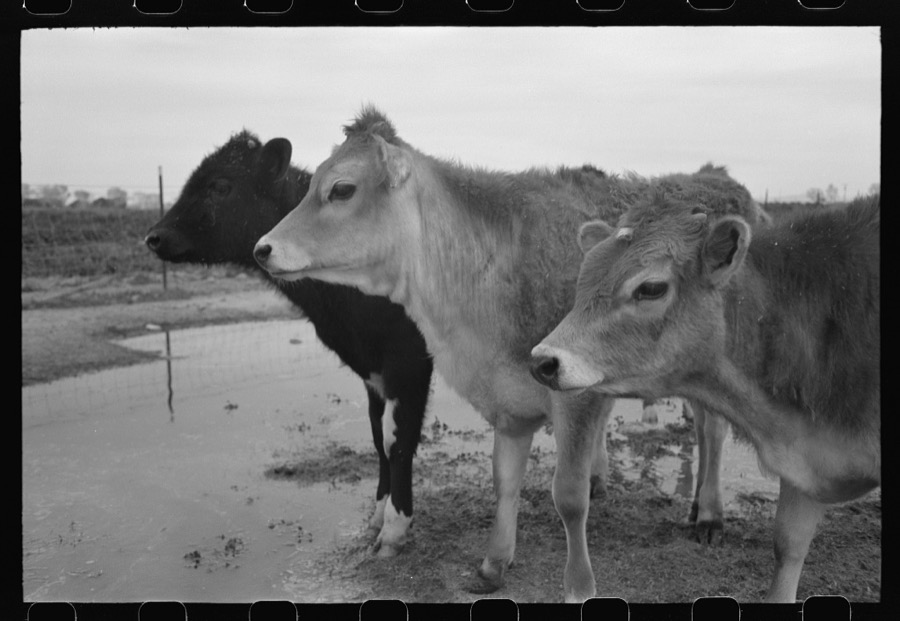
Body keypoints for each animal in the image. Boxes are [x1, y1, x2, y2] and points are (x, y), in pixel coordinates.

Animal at [143, 131, 435, 557]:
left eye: (220, 186)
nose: (153, 236)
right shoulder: (372, 369)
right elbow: (377, 437)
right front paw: (378, 515)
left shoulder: (408, 361)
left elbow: (398, 440)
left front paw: (395, 529)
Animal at [251, 106, 766, 601]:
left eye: (341, 189)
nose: (262, 247)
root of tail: (717, 179)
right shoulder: (507, 400)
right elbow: (504, 481)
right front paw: (494, 563)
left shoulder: (575, 394)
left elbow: (569, 496)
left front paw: (578, 585)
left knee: (713, 431)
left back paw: (710, 515)